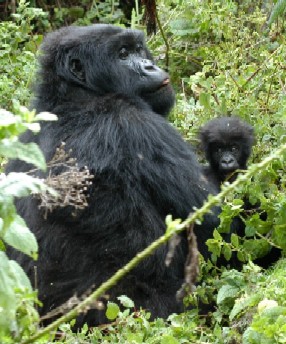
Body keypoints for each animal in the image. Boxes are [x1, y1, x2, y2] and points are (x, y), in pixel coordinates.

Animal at [7, 24, 219, 328]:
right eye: (122, 54)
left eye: (138, 49)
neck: (73, 94)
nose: (150, 66)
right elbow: (213, 218)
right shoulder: (133, 121)